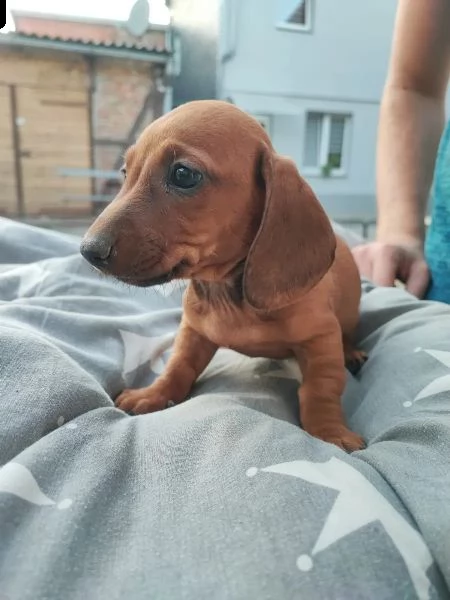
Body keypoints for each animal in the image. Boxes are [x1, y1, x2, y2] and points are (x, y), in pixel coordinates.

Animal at [81, 101, 366, 452]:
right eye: (125, 172)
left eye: (183, 174)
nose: (88, 250)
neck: (228, 294)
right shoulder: (193, 333)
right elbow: (178, 366)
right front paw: (154, 393)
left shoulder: (321, 338)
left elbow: (321, 387)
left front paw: (330, 430)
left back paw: (352, 351)